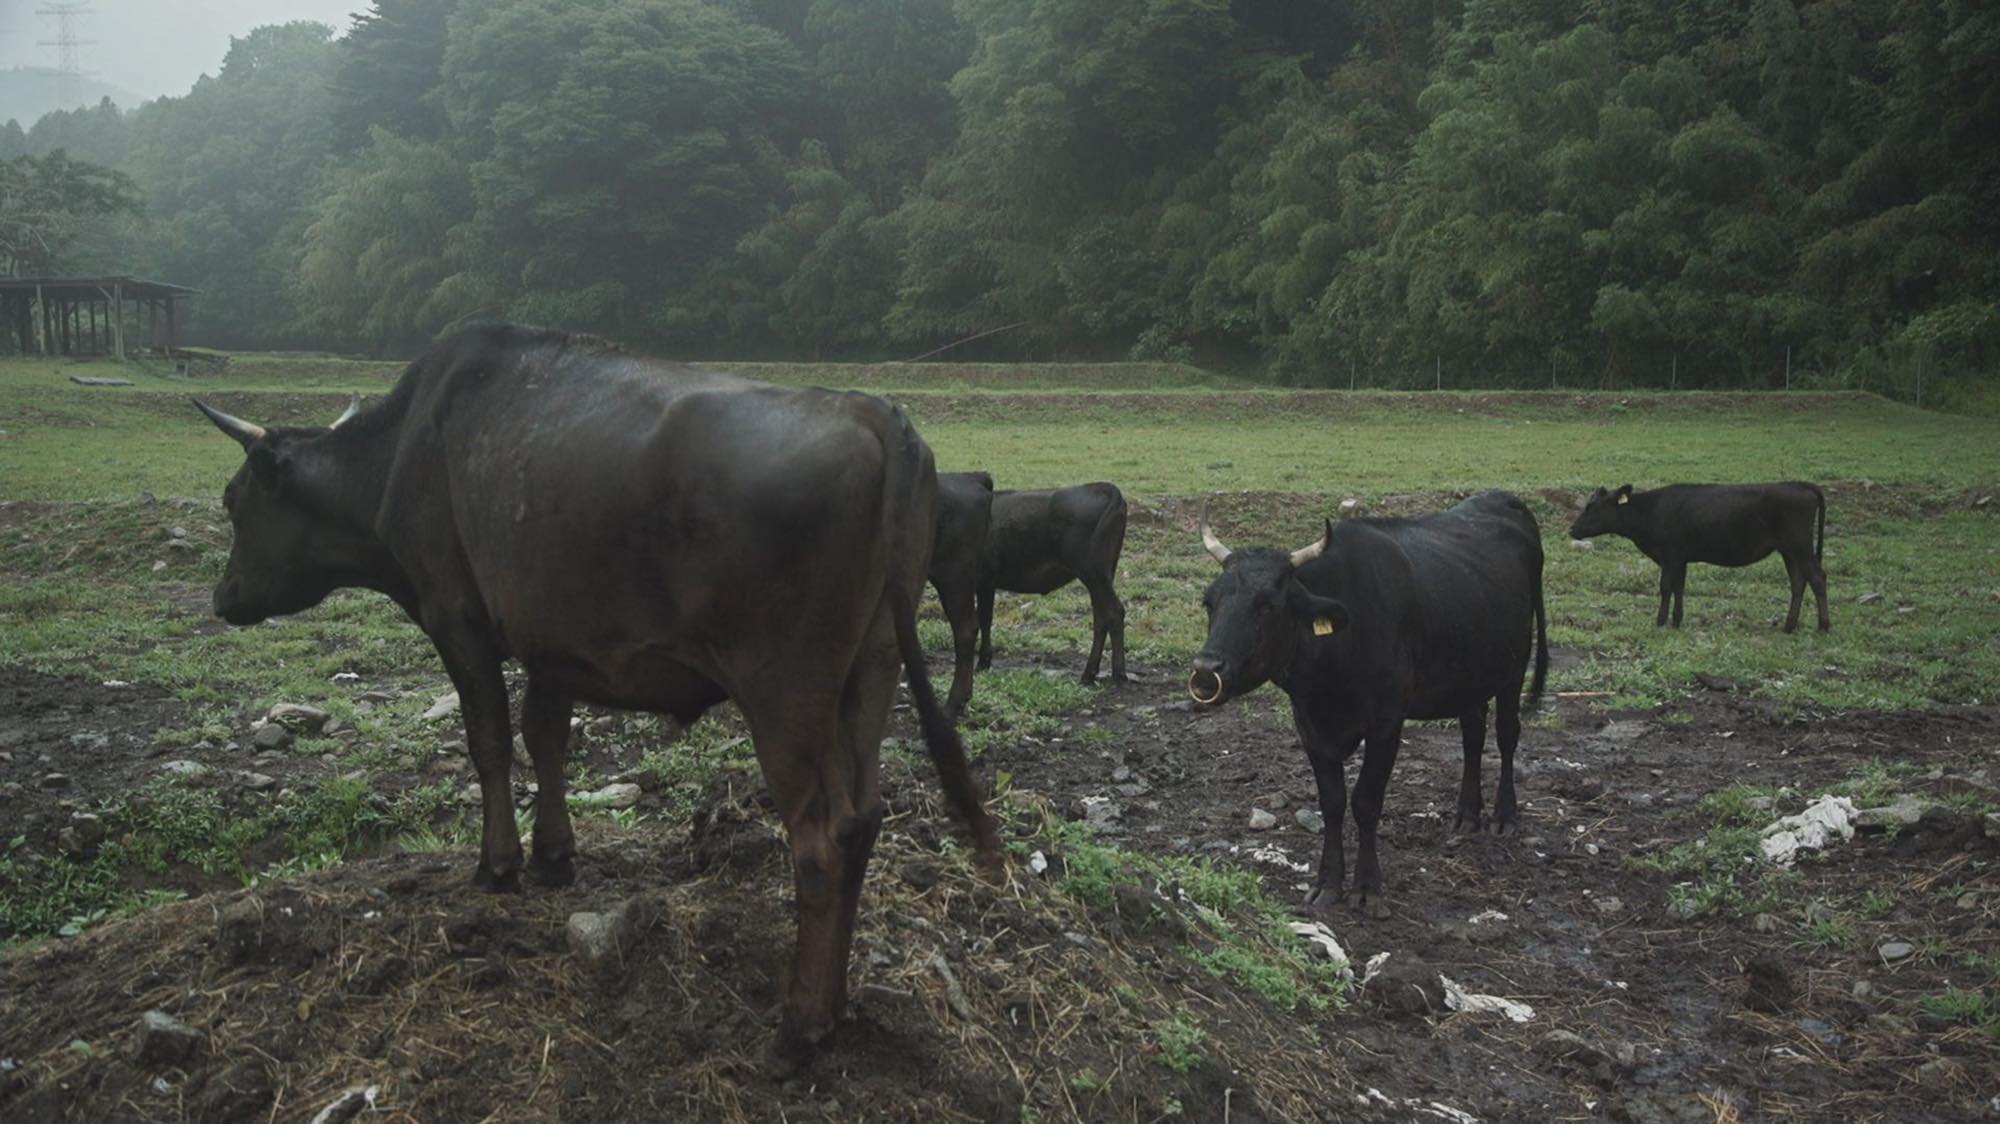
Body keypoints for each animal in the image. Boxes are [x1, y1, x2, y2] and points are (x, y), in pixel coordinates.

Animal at [980, 480, 1136, 680]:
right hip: (1102, 577)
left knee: (1114, 613)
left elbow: (982, 620)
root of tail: (1100, 487)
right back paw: (1090, 673)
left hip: (1095, 575)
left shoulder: (982, 579)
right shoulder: (986, 582)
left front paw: (982, 664)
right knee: (1101, 617)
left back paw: (1117, 674)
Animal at [1560, 482, 1832, 632]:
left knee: (1817, 578)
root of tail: (1801, 485)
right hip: (1789, 550)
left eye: (1592, 507)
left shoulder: (1670, 555)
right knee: (1798, 582)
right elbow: (1679, 587)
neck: (1650, 511)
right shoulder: (1680, 558)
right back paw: (1789, 625)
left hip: (1800, 545)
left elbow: (1666, 587)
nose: (1573, 530)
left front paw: (1660, 621)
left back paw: (1823, 626)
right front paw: (1677, 620)